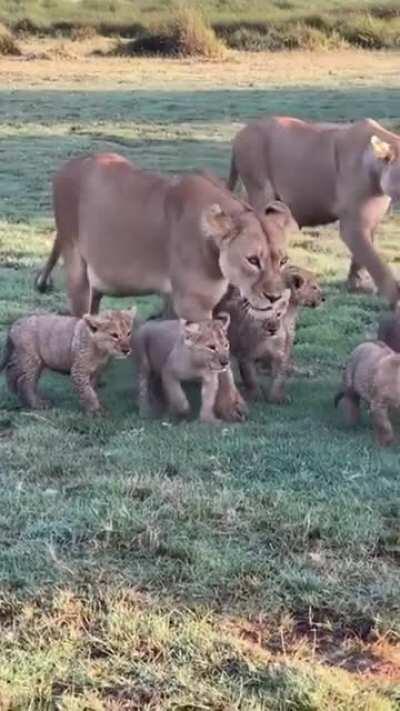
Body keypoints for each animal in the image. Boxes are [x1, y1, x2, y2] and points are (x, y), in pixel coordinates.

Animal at [0, 309, 135, 414]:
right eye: (115, 335)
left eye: (129, 333)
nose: (126, 350)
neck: (101, 350)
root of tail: (16, 323)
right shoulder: (78, 370)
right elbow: (88, 391)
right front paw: (95, 410)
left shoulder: (95, 372)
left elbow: (90, 388)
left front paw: (90, 406)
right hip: (31, 359)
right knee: (24, 381)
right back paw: (36, 404)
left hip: (31, 360)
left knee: (13, 370)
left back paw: (15, 394)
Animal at [34, 153, 296, 422]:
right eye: (252, 260)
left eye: (283, 260)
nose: (274, 297)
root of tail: (72, 162)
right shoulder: (193, 303)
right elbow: (220, 361)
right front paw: (232, 406)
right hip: (76, 264)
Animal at [217, 264, 323, 402]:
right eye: (314, 287)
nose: (323, 298)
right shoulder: (246, 355)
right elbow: (250, 377)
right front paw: (255, 395)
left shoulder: (282, 350)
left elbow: (279, 376)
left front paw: (277, 397)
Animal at [228, 117, 400, 306]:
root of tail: (241, 132)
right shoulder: (353, 227)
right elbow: (377, 264)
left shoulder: (371, 223)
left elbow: (362, 259)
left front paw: (356, 285)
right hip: (260, 190)